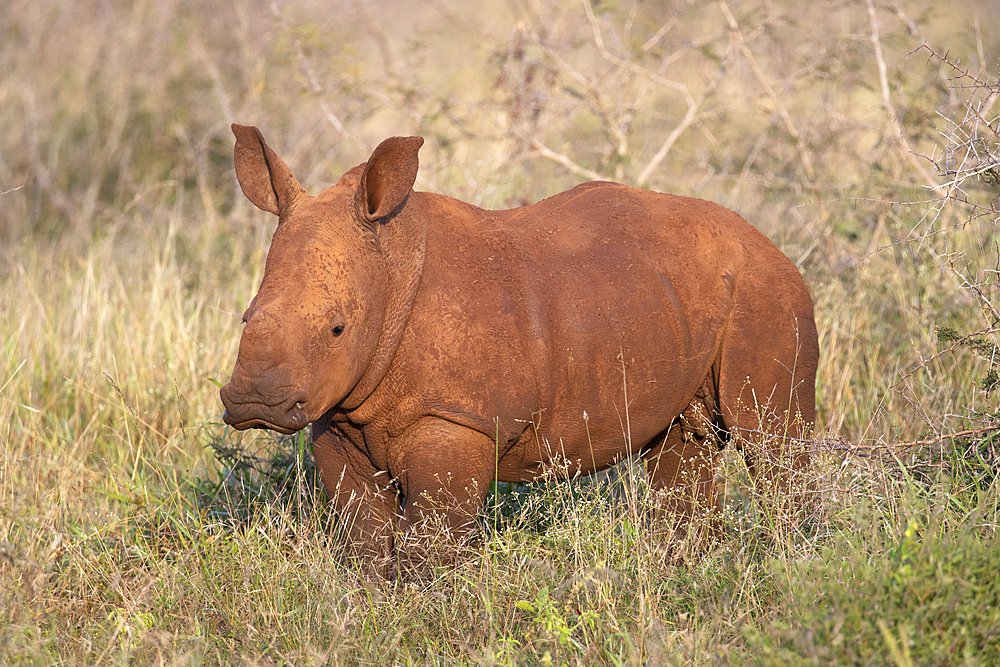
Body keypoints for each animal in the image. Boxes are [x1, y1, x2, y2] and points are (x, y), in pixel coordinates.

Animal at [217, 124, 812, 576]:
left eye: (338, 329)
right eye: (245, 316)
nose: (254, 403)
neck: (391, 267)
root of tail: (769, 242)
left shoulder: (458, 417)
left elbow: (431, 539)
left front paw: (424, 616)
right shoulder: (336, 415)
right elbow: (364, 535)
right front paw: (373, 605)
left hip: (765, 291)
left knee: (773, 441)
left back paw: (799, 563)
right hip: (672, 297)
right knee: (680, 447)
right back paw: (686, 573)